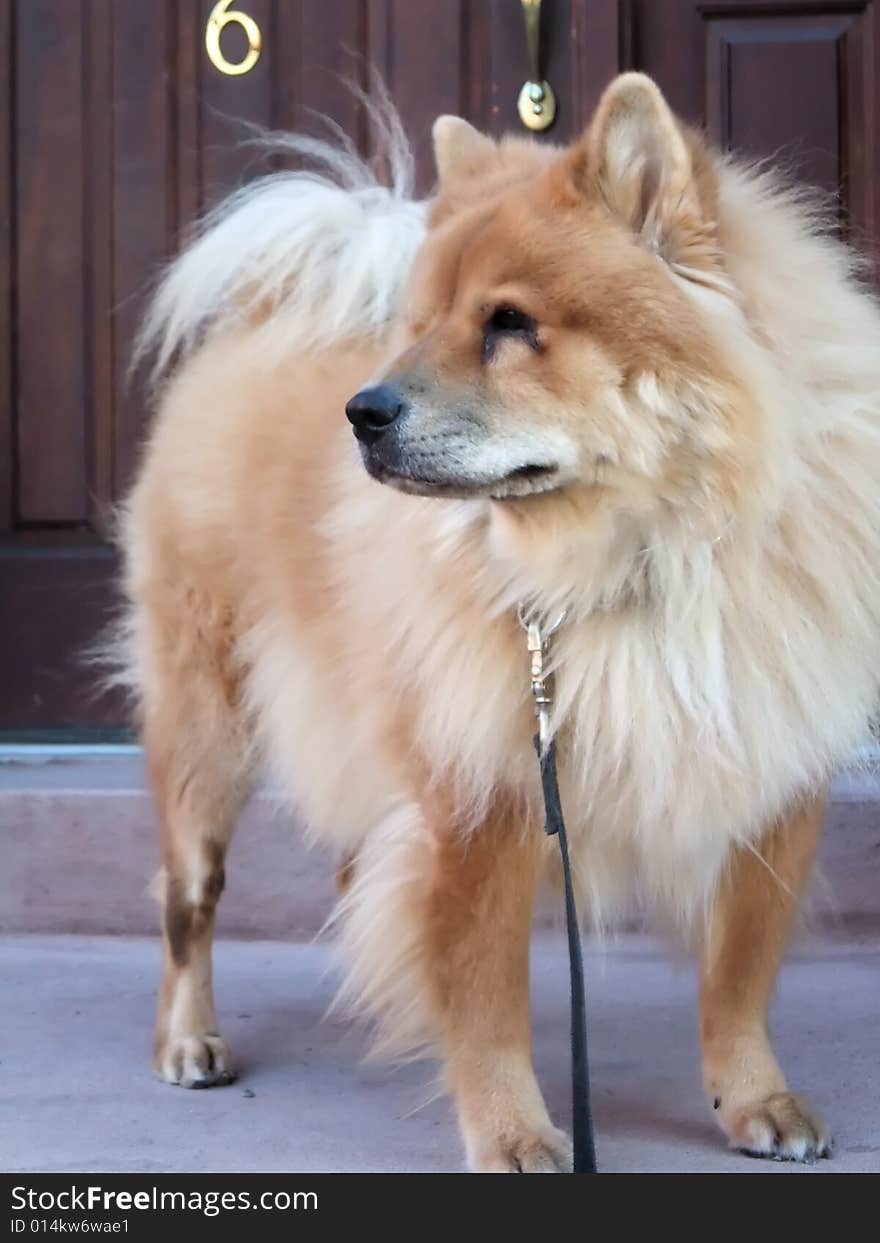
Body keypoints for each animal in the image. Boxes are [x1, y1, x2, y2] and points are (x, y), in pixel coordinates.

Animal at [109, 77, 879, 1173]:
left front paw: (755, 1099)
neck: (650, 561)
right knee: (188, 902)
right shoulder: (482, 802)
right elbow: (483, 998)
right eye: (420, 323)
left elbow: (739, 973)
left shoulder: (768, 781)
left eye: (510, 324)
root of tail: (262, 325)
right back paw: (188, 1039)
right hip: (208, 737)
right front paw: (513, 1131)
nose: (363, 410)